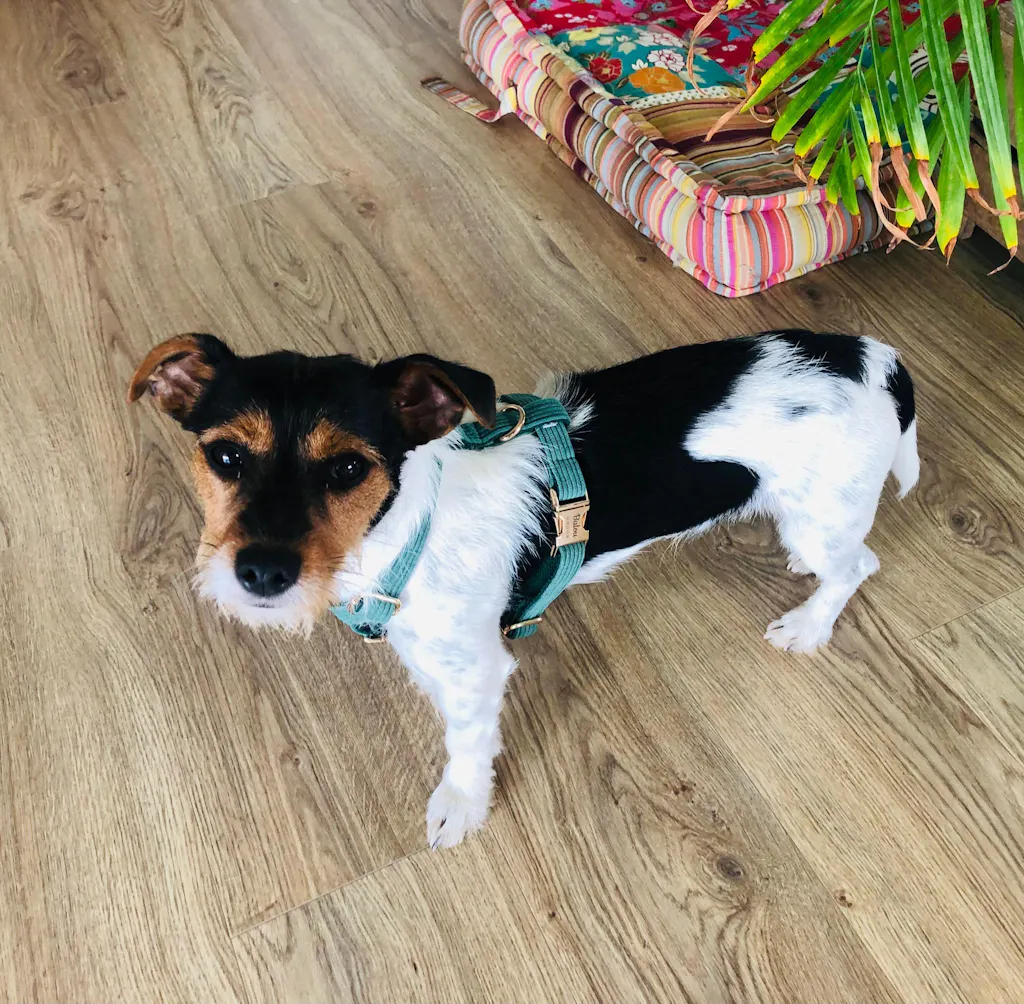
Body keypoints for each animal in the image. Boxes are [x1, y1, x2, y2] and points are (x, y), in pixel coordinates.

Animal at [128, 329, 918, 848]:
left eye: (349, 468)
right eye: (225, 457)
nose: (261, 572)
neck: (403, 531)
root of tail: (878, 361)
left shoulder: (476, 673)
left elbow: (468, 744)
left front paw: (461, 804)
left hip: (822, 519)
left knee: (859, 567)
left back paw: (810, 624)